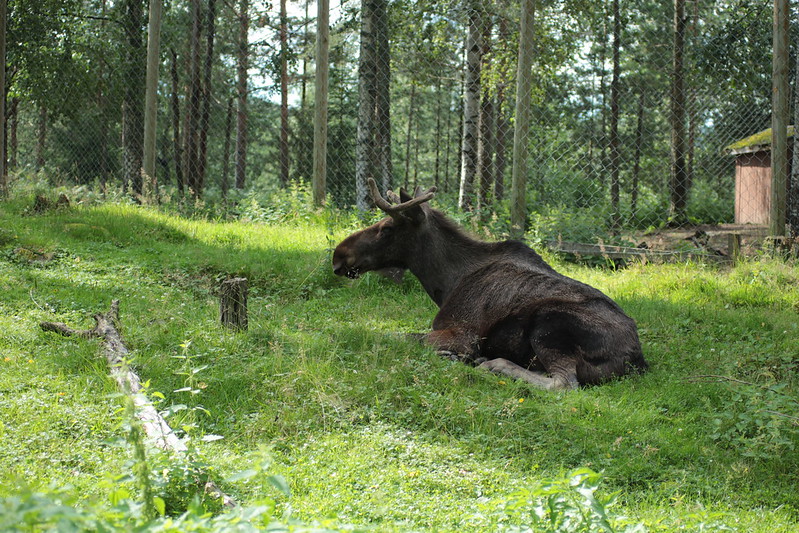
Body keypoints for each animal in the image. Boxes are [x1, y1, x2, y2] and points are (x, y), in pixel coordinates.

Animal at [332, 180, 648, 390]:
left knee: (562, 383)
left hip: (550, 323)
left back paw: (491, 364)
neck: (445, 283)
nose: (338, 255)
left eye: (386, 228)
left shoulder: (462, 334)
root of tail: (637, 358)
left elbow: (388, 336)